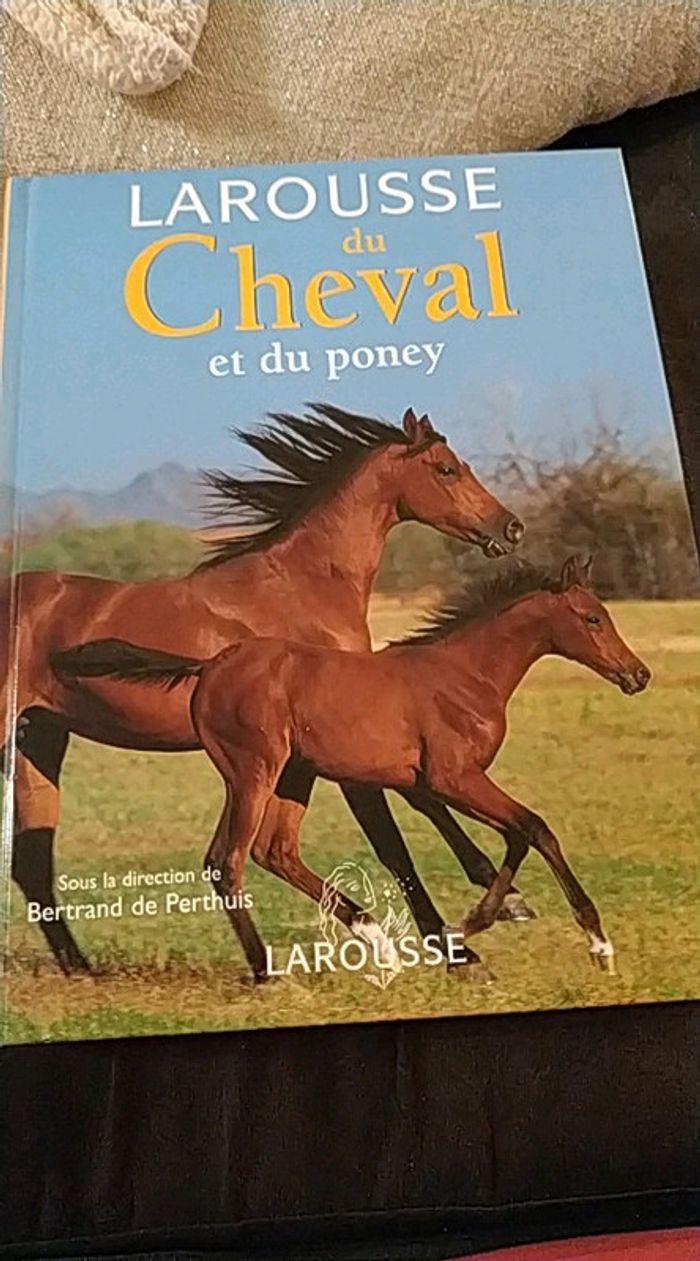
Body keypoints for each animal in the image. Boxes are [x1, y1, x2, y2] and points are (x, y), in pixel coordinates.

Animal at [5, 402, 526, 974]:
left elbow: (420, 806)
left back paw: (82, 967)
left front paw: (499, 903)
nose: (512, 527)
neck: (303, 587)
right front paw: (461, 945)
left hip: (41, 740)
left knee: (32, 862)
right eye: (446, 469)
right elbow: (394, 840)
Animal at [55, 554, 651, 981]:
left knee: (275, 851)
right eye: (593, 618)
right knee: (228, 860)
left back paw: (377, 940)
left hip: (293, 776)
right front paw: (593, 942)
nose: (638, 674)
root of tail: (210, 665)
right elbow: (535, 828)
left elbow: (518, 836)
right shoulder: (455, 778)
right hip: (253, 772)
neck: (464, 674)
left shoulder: (439, 785)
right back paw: (267, 970)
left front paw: (485, 922)